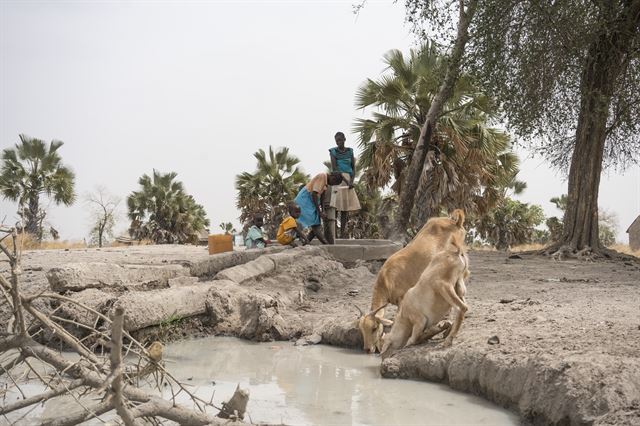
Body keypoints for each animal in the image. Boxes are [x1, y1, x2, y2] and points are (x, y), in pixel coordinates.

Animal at [356, 210, 464, 352]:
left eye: (374, 328)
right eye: (361, 330)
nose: (368, 349)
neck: (387, 278)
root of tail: (456, 222)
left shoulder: (402, 298)